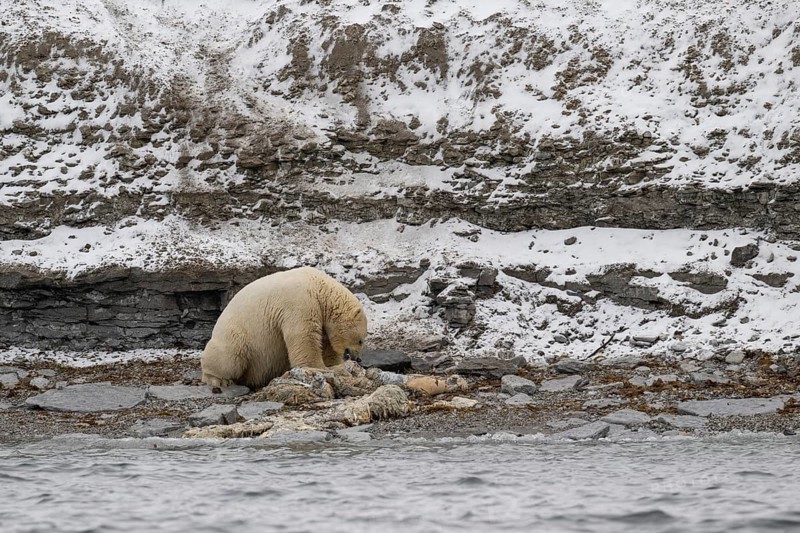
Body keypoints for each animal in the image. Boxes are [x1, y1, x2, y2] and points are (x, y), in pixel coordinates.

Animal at [200, 266, 367, 389]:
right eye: (361, 340)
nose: (358, 358)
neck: (319, 287)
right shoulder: (300, 302)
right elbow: (304, 336)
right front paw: (320, 368)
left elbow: (326, 343)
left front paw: (336, 366)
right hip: (236, 335)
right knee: (230, 358)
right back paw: (218, 379)